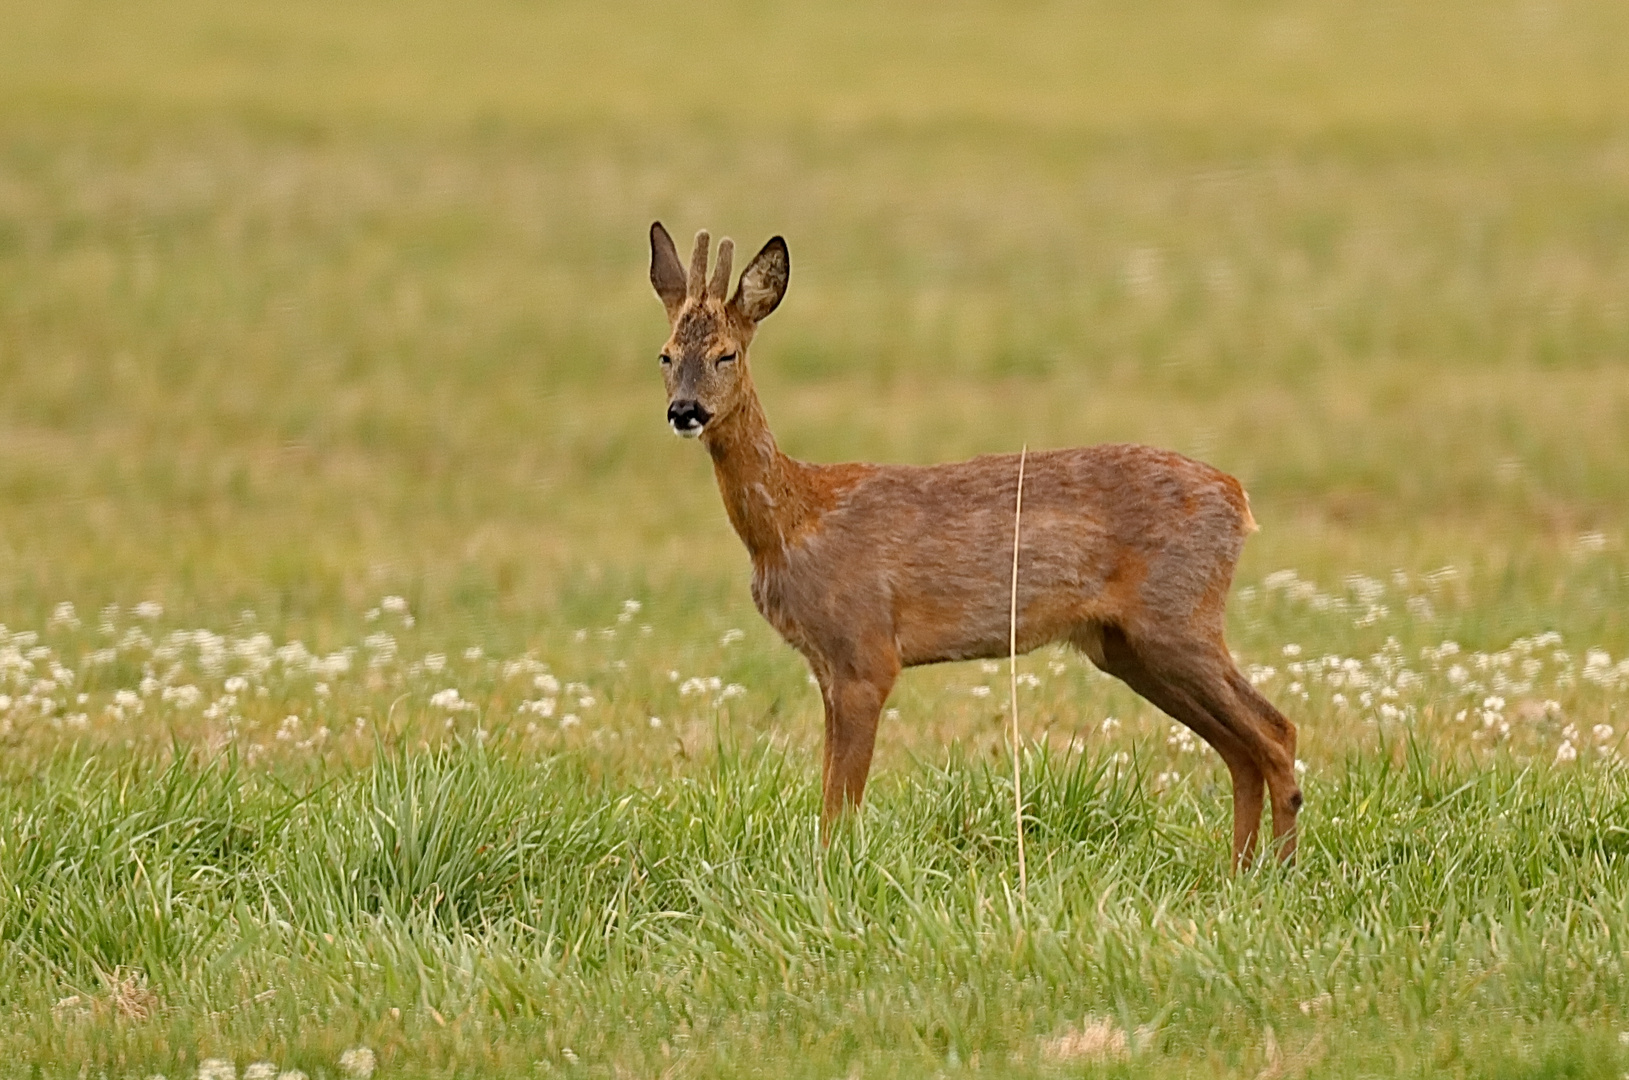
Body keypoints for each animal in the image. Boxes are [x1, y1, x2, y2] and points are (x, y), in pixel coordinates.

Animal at [645, 223, 1296, 866]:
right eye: (666, 355)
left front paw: (834, 876)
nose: (684, 411)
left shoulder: (866, 652)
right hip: (1126, 646)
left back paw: (1276, 869)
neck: (792, 521)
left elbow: (839, 806)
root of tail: (1238, 499)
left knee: (1274, 732)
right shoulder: (827, 665)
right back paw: (1239, 870)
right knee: (1242, 747)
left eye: (726, 354)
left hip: (1178, 618)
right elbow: (830, 796)